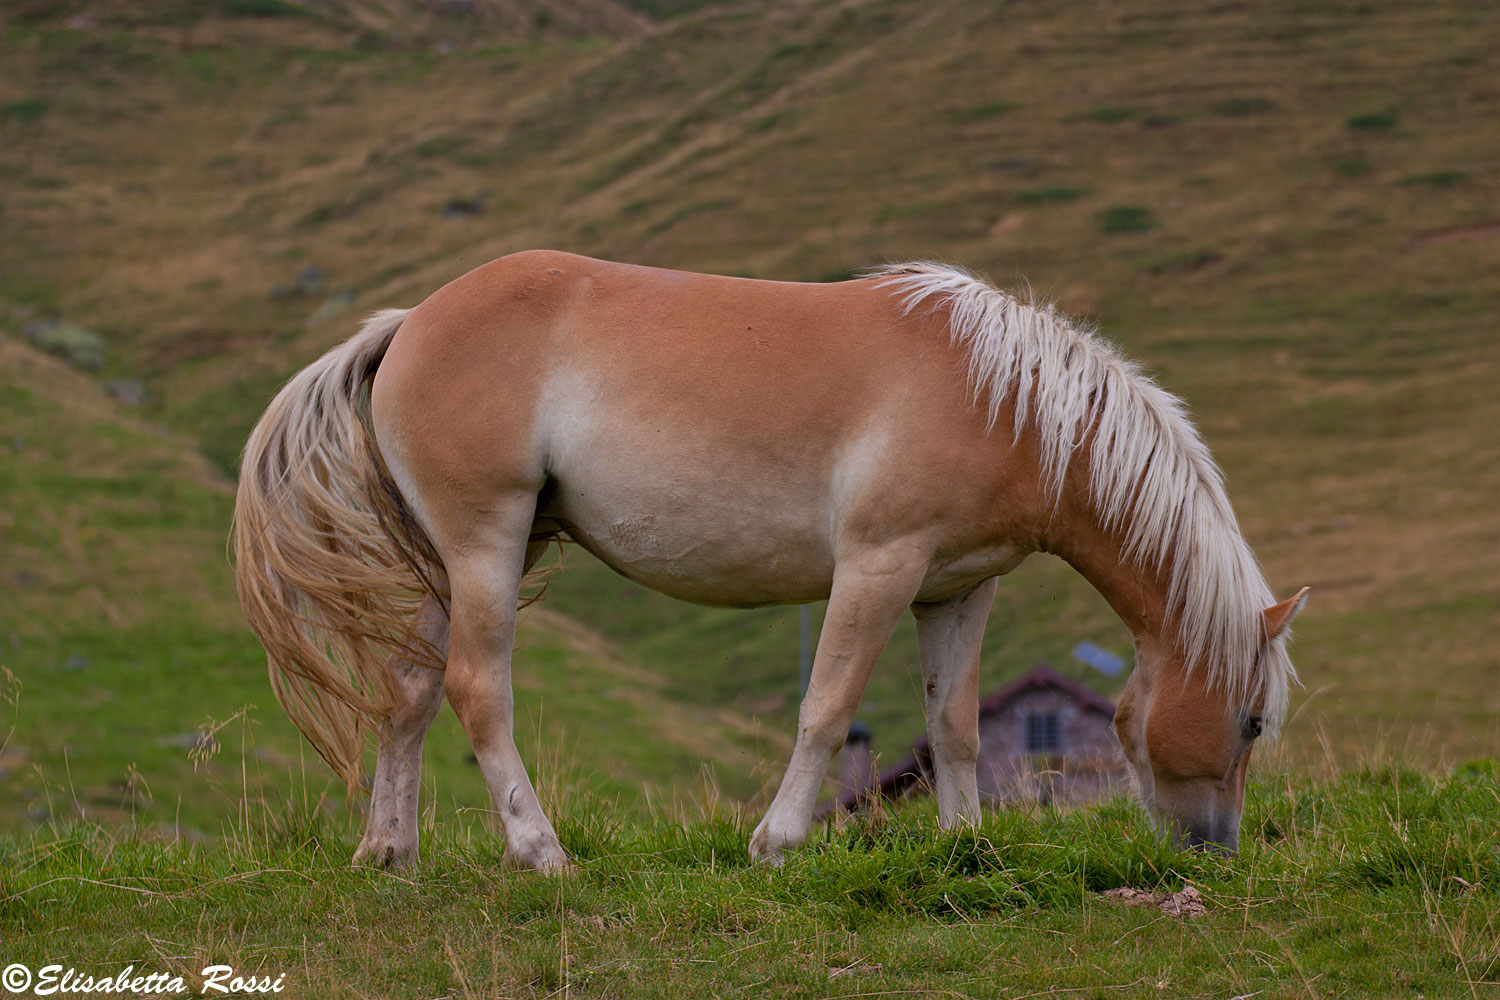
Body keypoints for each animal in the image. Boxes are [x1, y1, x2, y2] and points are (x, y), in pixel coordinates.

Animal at [233, 250, 1307, 871]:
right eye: (1251, 721)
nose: (1214, 852)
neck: (1001, 398)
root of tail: (409, 322)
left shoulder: (959, 589)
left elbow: (954, 725)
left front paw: (965, 847)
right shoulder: (878, 567)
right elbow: (826, 708)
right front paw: (777, 844)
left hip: (445, 567)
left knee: (408, 694)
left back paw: (389, 852)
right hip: (486, 545)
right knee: (475, 691)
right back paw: (540, 852)